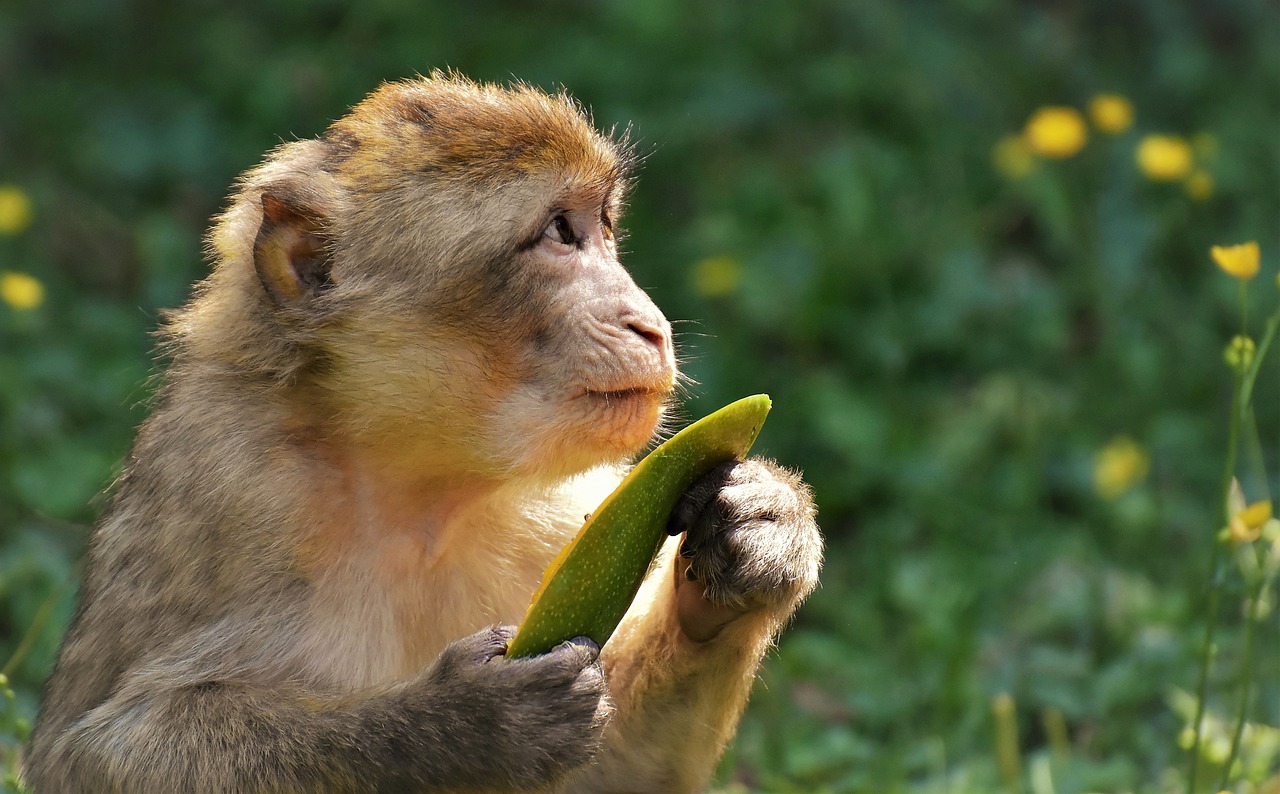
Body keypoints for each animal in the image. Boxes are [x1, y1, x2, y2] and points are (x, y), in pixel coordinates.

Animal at [24, 74, 824, 794]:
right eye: (558, 233)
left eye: (602, 226)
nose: (648, 323)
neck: (417, 489)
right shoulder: (229, 488)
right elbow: (92, 753)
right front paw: (464, 724)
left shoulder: (558, 509)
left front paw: (756, 534)